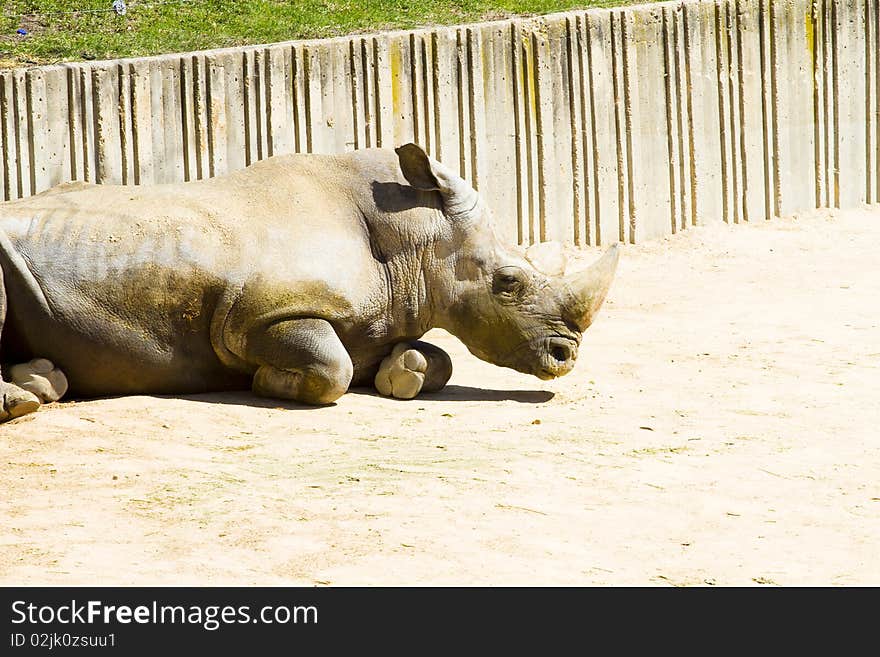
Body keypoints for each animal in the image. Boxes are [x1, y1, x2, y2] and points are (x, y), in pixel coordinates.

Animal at [0, 144, 620, 420]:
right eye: (508, 283)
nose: (567, 356)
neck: (416, 237)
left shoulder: (382, 314)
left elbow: (436, 359)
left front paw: (404, 373)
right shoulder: (252, 318)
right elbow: (332, 368)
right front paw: (265, 383)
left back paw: (42, 382)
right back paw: (26, 400)